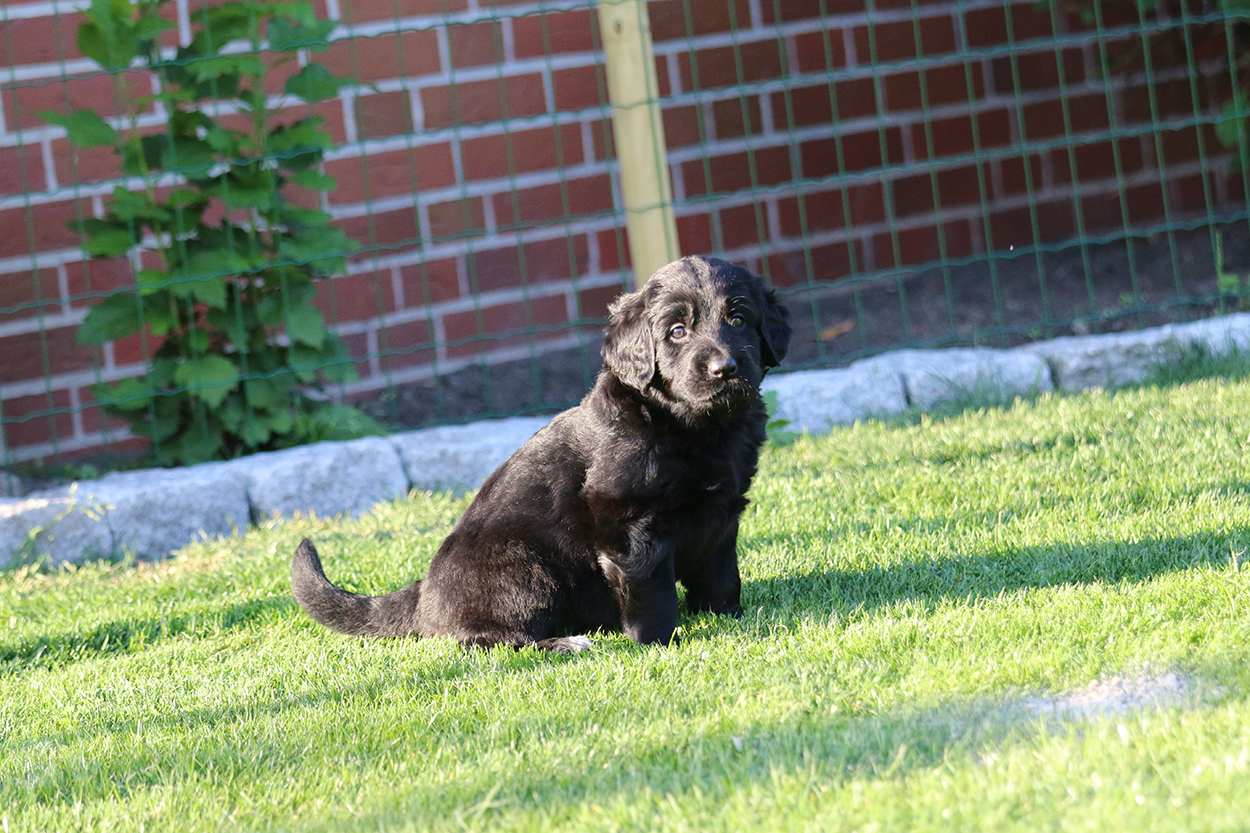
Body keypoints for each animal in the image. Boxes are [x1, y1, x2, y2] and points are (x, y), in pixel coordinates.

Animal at [291, 255, 791, 651]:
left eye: (738, 320)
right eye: (678, 331)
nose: (725, 368)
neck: (695, 426)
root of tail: (423, 594)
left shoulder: (723, 511)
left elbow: (721, 575)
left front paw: (731, 619)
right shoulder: (631, 525)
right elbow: (653, 593)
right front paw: (660, 643)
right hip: (526, 570)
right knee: (489, 640)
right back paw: (567, 643)